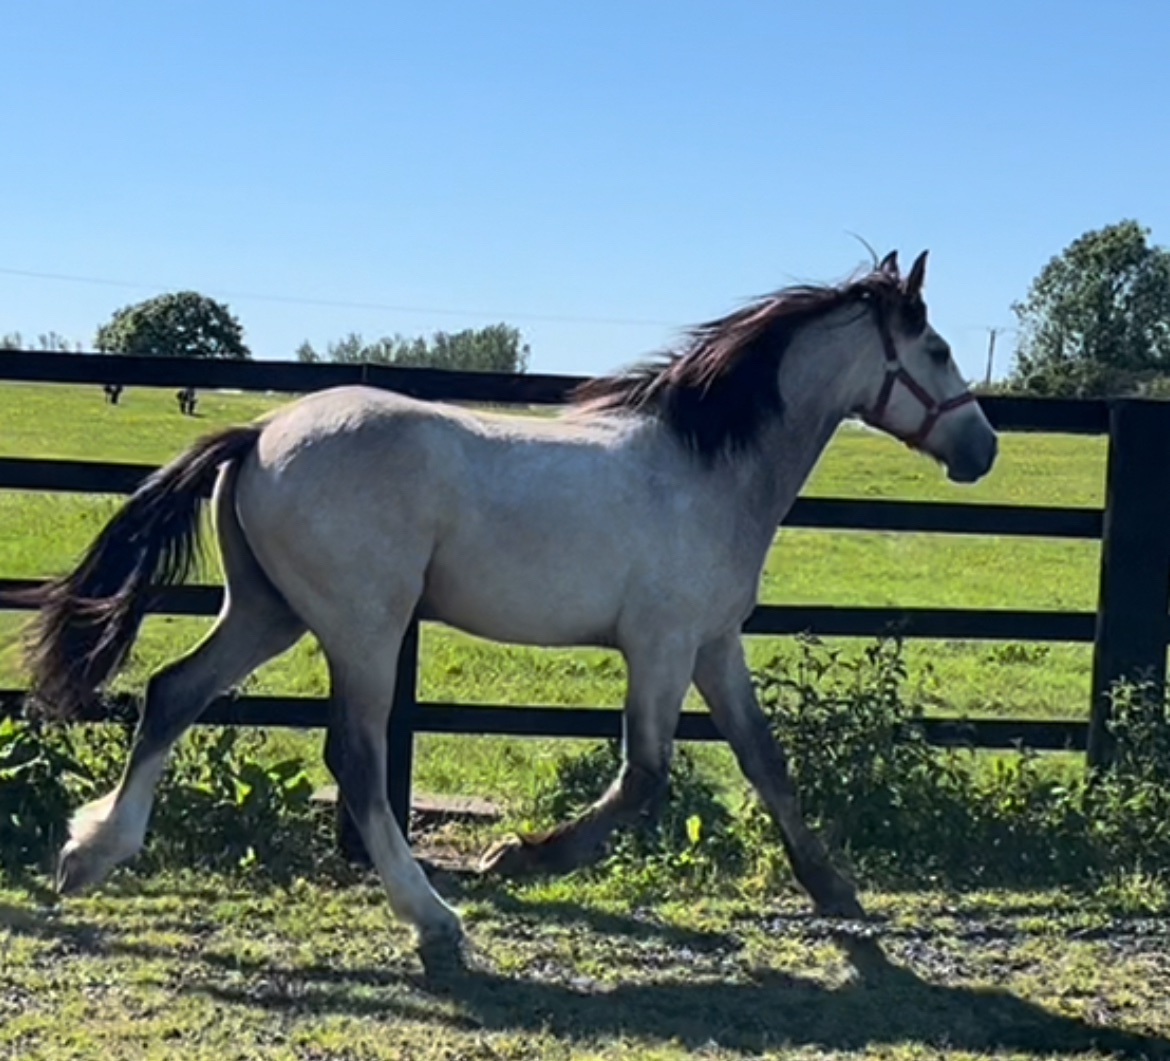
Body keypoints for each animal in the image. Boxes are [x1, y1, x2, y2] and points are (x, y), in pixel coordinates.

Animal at [7, 250, 996, 967]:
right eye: (939, 350)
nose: (981, 447)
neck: (706, 468)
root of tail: (259, 433)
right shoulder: (662, 644)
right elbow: (645, 777)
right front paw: (514, 856)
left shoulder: (716, 643)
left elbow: (766, 760)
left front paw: (835, 889)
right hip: (362, 626)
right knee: (354, 759)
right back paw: (434, 918)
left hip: (268, 611)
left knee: (173, 692)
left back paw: (88, 853)